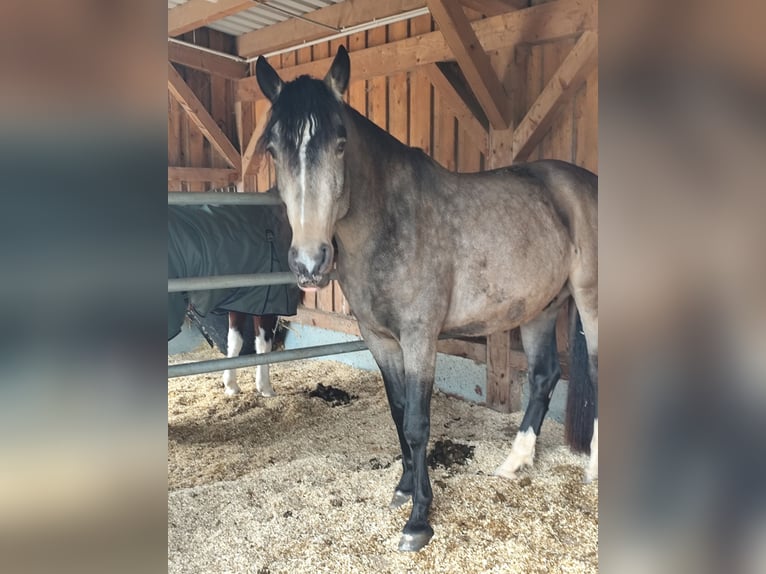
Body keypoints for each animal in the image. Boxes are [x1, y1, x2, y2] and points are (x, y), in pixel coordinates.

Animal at [168, 201, 301, 396]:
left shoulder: (241, 302)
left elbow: (234, 341)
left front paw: (231, 386)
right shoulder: (266, 303)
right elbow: (263, 344)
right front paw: (265, 387)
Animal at [254, 46, 598, 552]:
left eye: (340, 143)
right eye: (273, 149)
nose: (310, 263)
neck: (390, 222)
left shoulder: (420, 338)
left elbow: (417, 423)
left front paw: (419, 520)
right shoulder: (379, 339)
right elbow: (399, 414)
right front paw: (404, 489)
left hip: (591, 303)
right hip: (541, 307)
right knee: (543, 376)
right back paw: (514, 463)